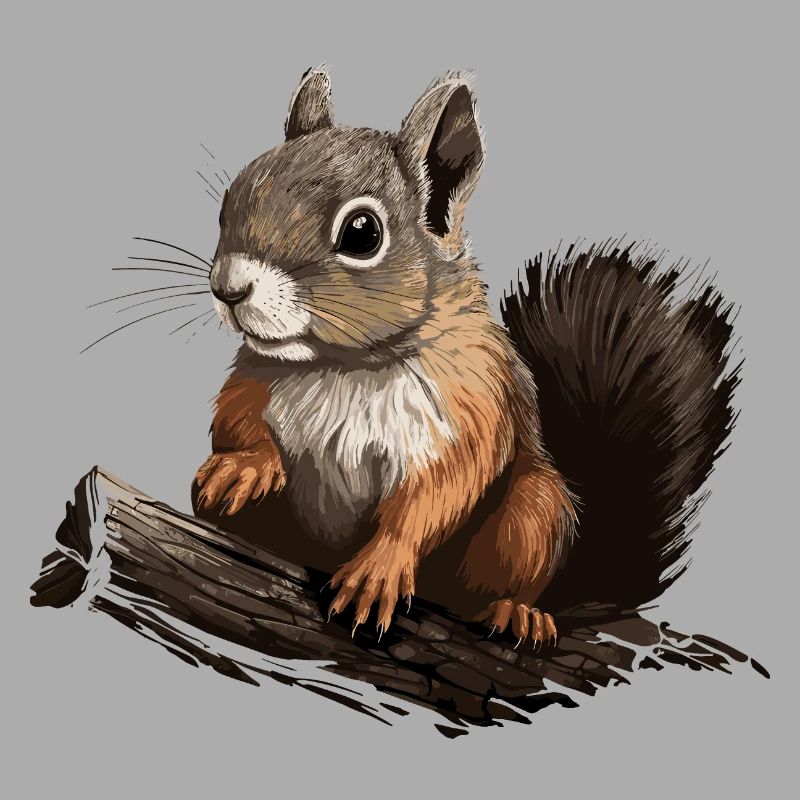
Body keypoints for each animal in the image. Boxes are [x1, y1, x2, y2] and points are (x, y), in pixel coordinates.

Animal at [191, 67, 738, 647]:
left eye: (362, 233)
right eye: (231, 198)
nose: (229, 288)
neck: (345, 365)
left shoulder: (468, 405)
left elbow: (439, 492)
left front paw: (379, 568)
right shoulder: (255, 376)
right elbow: (235, 418)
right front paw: (245, 466)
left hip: (536, 511)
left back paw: (517, 612)